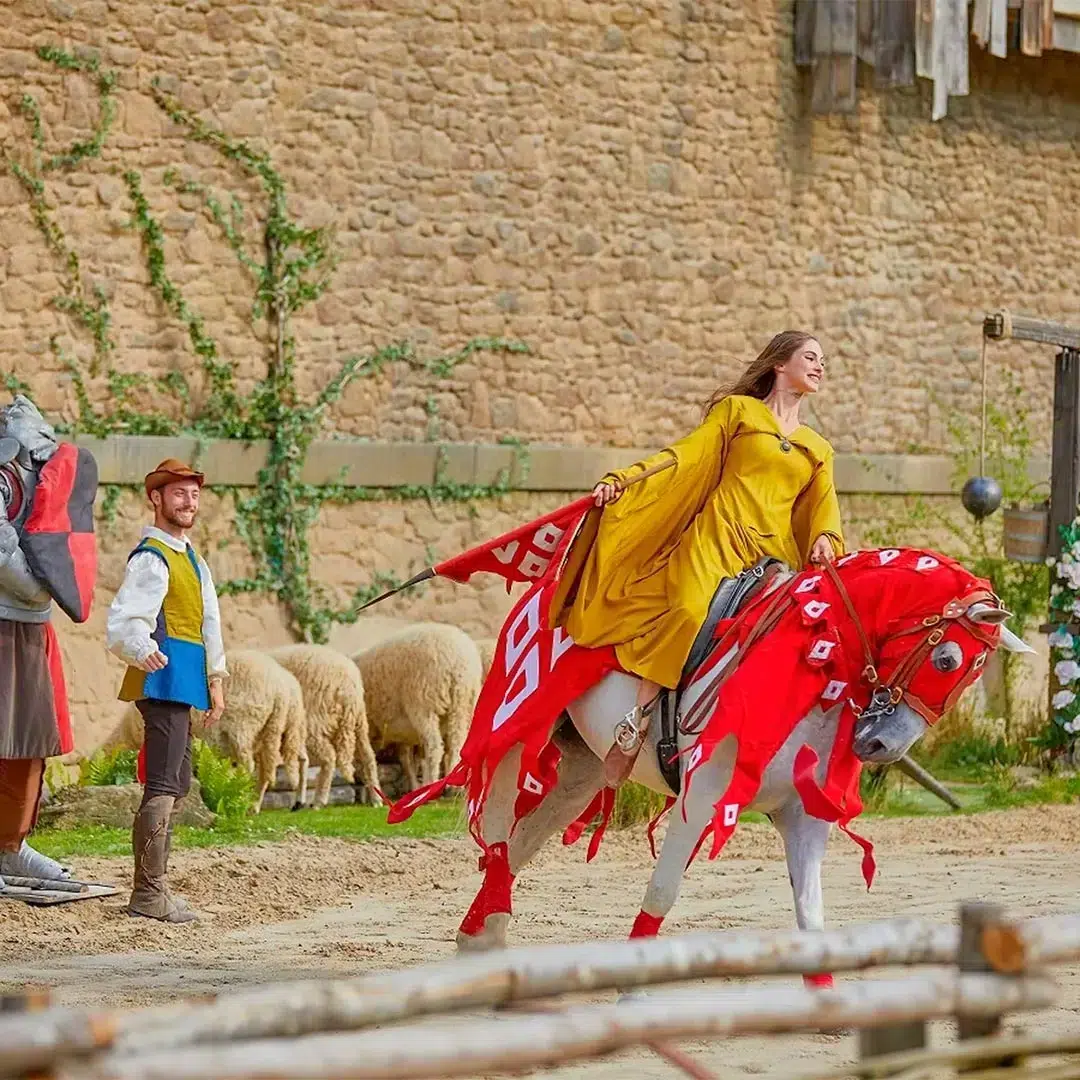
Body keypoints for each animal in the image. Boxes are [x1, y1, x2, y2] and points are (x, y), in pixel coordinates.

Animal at [102, 643, 308, 812]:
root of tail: (283, 690)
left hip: (244, 726)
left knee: (249, 766)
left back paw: (247, 801)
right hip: (284, 729)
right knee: (291, 763)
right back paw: (270, 804)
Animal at [267, 643, 378, 807]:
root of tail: (348, 686)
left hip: (315, 721)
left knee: (329, 757)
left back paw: (319, 801)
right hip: (359, 723)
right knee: (368, 756)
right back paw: (377, 799)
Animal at [354, 622, 481, 790]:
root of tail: (457, 660)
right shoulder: (404, 733)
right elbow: (409, 760)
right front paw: (414, 787)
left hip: (423, 703)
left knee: (435, 747)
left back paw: (431, 784)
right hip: (463, 704)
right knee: (457, 743)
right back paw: (453, 786)